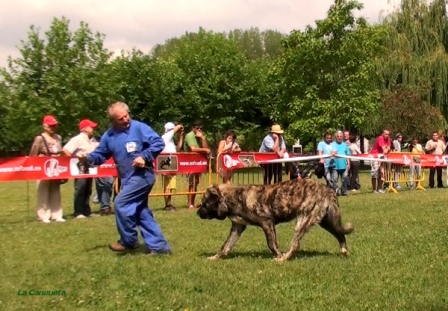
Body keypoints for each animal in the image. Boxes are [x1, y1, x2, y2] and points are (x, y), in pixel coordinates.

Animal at [196, 179, 354, 262]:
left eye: (204, 203)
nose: (197, 213)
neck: (235, 197)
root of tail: (327, 189)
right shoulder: (238, 227)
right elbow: (225, 246)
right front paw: (215, 257)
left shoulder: (267, 222)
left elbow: (271, 244)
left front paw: (278, 255)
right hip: (326, 221)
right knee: (340, 234)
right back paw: (344, 251)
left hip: (303, 221)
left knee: (295, 244)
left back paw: (284, 258)